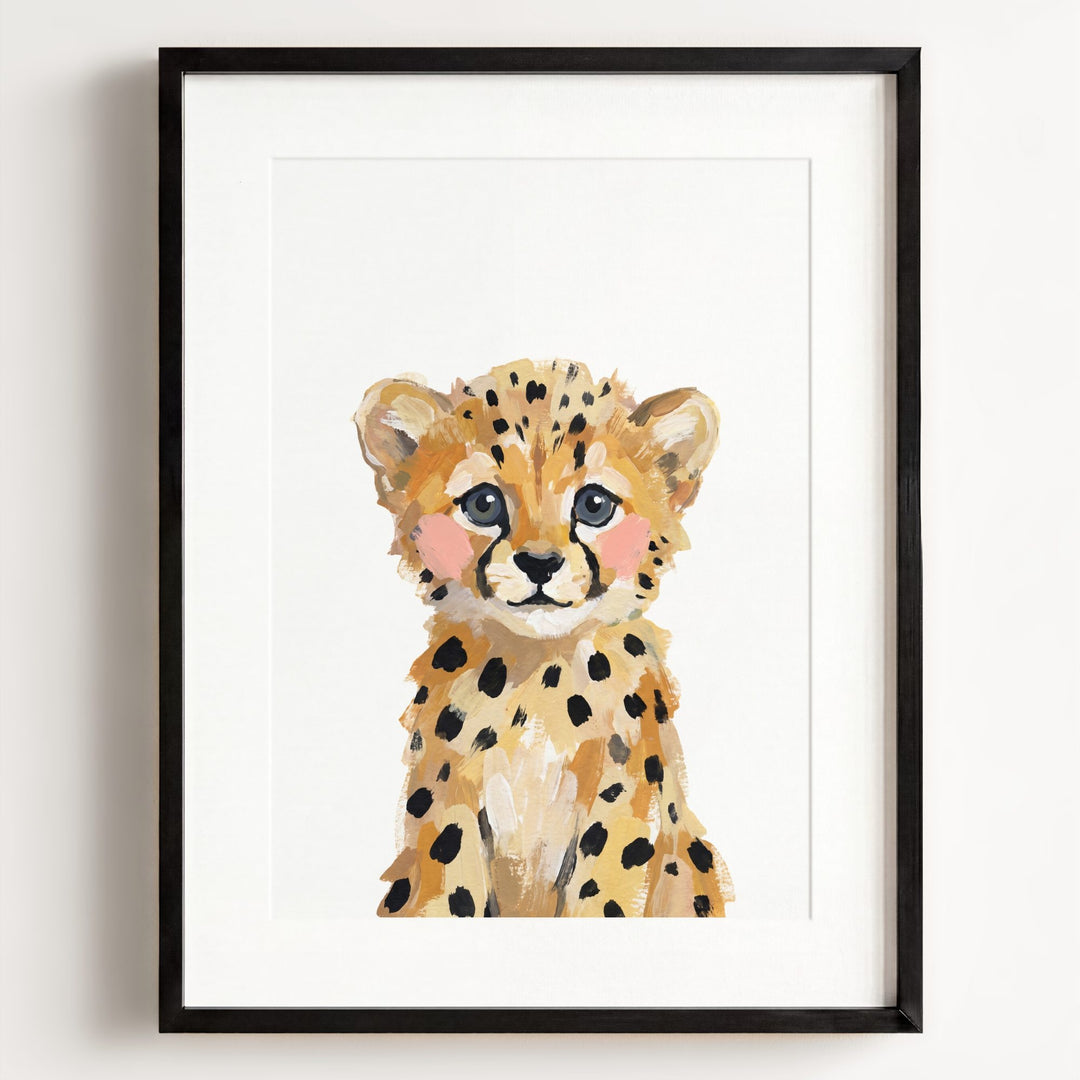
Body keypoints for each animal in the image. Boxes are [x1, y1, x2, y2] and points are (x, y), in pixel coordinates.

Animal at [353, 359, 734, 917]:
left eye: (594, 505)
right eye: (483, 504)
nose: (539, 563)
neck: (538, 675)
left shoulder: (621, 802)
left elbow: (604, 894)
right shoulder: (448, 798)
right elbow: (450, 883)